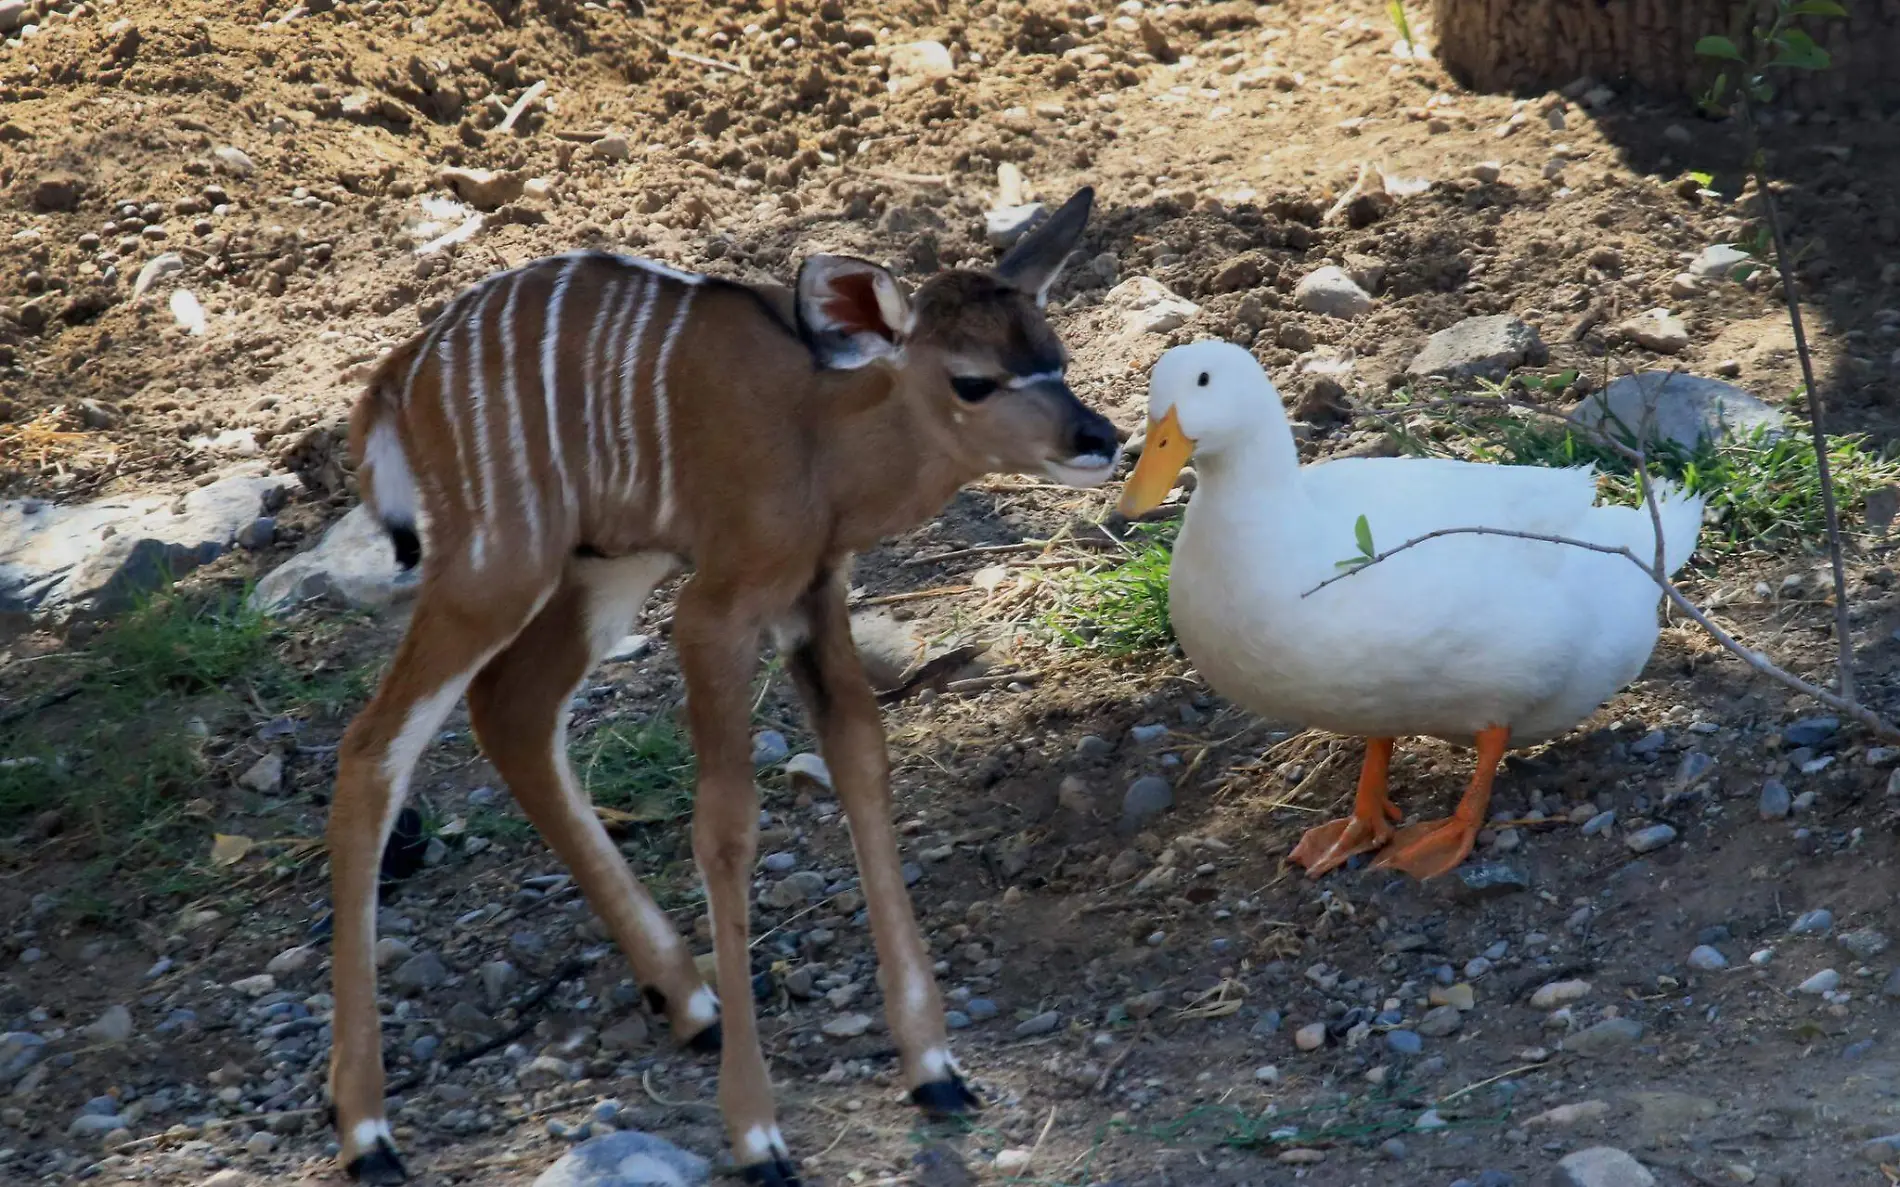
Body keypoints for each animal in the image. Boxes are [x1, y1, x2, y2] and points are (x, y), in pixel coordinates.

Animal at [328, 189, 1117, 1177]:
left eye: (1056, 355)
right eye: (973, 379)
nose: (1101, 439)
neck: (821, 438)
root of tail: (402, 373)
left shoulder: (813, 598)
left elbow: (863, 764)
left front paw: (936, 1069)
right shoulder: (715, 613)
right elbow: (727, 827)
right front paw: (756, 1134)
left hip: (605, 564)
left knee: (513, 710)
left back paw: (690, 1003)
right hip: (493, 566)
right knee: (372, 749)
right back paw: (366, 1130)